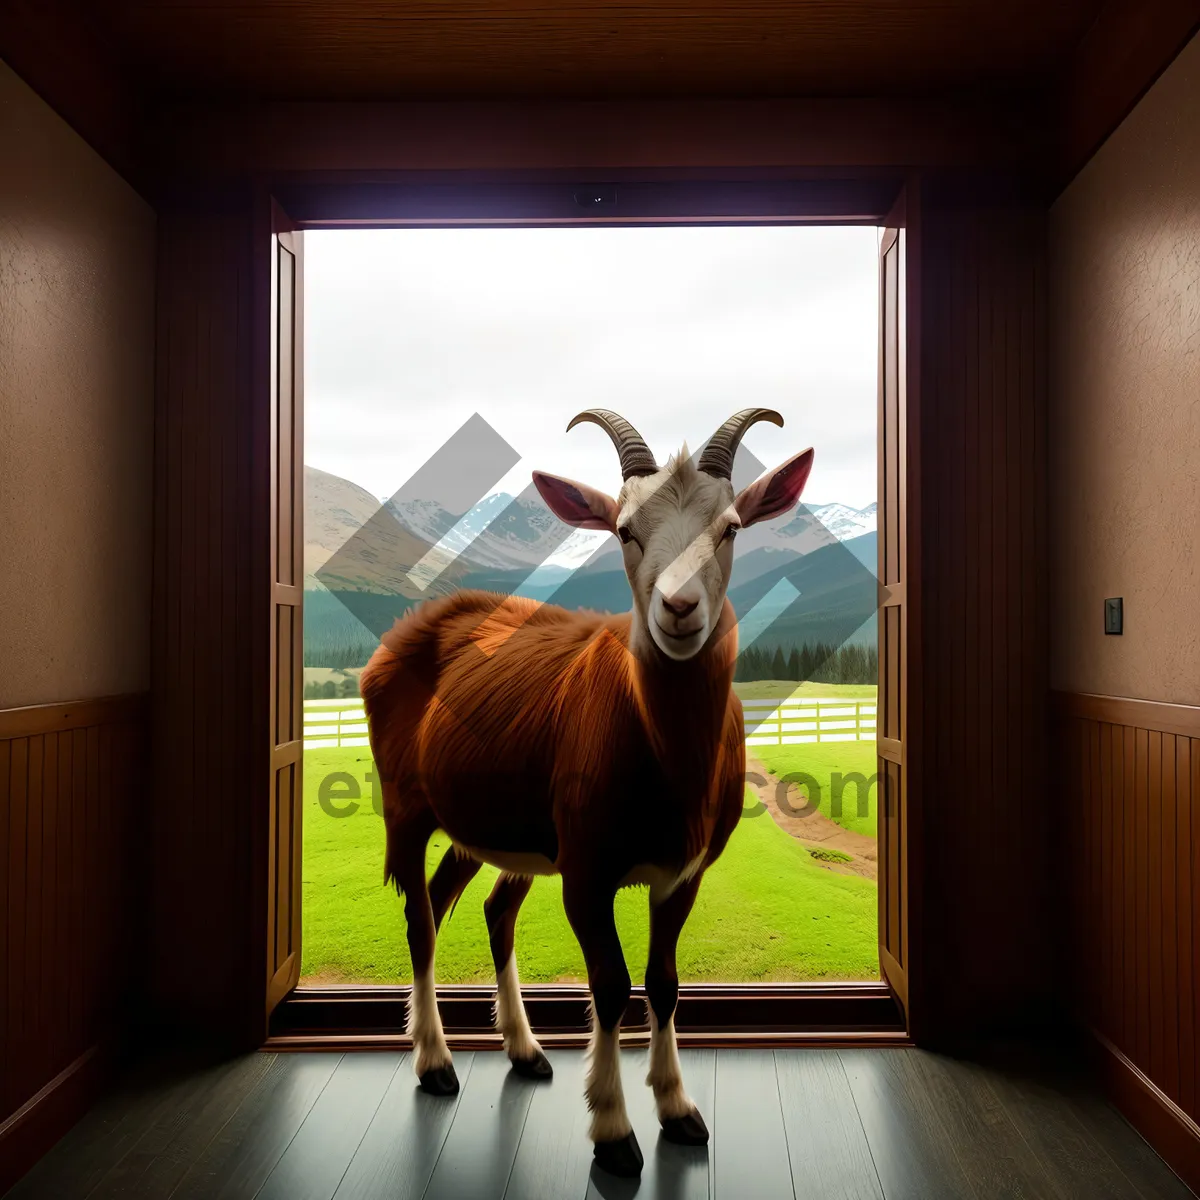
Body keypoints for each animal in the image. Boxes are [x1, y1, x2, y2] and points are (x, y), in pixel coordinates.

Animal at [357, 408, 816, 1176]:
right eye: (624, 529)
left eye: (729, 528)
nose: (679, 608)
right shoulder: (587, 868)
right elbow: (610, 984)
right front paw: (612, 1130)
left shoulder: (684, 872)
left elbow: (662, 982)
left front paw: (678, 1109)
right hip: (408, 806)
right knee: (421, 918)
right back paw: (434, 1062)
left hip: (498, 824)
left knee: (481, 905)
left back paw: (523, 1049)